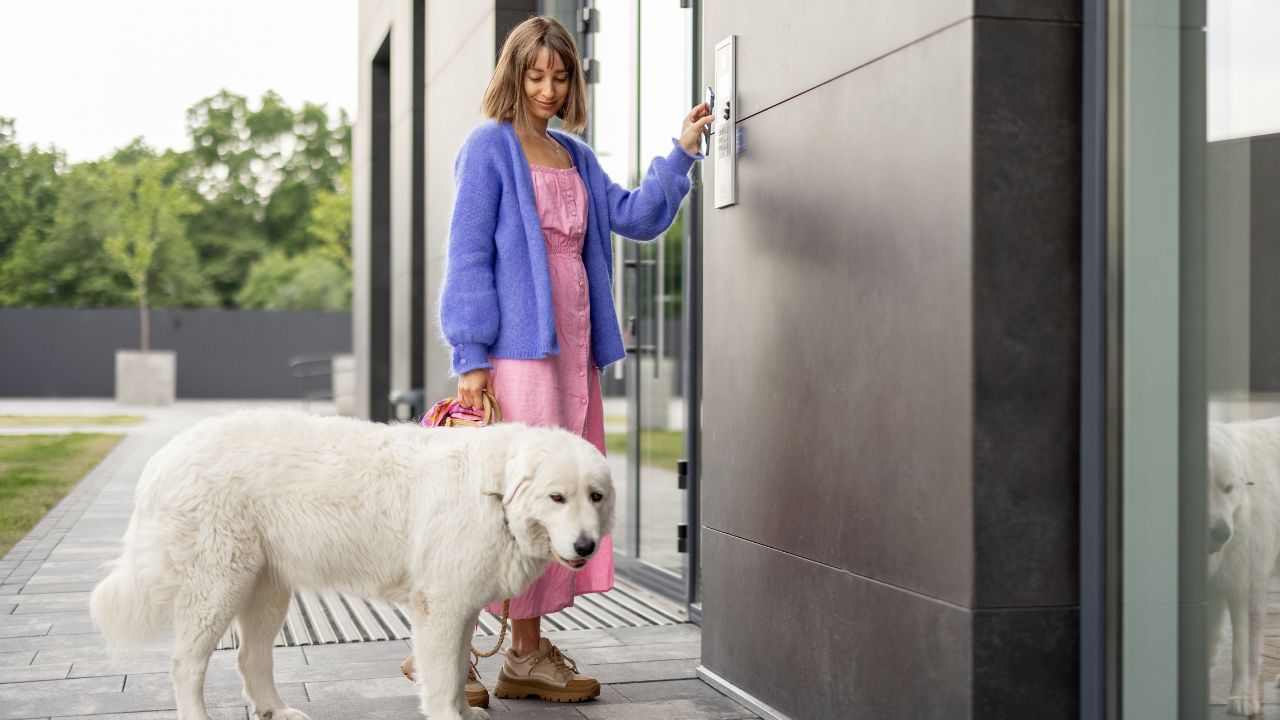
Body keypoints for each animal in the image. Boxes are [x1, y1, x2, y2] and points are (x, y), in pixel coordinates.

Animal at [88, 409, 614, 717]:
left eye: (595, 496)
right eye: (557, 497)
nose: (586, 546)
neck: (495, 491)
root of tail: (165, 456)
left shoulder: (458, 607)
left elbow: (453, 675)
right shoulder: (441, 609)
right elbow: (442, 682)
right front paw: (451, 716)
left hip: (265, 590)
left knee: (248, 657)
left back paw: (277, 710)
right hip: (218, 587)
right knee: (185, 666)